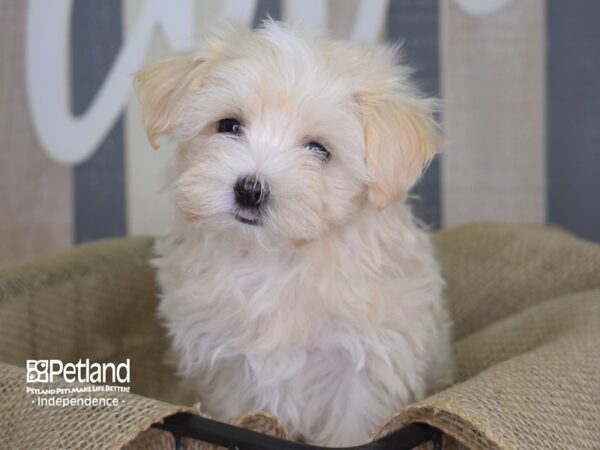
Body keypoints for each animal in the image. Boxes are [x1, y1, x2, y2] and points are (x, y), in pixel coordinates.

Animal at [135, 21, 450, 446]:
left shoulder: (362, 371)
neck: (274, 258)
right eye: (229, 126)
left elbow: (350, 431)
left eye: (318, 149)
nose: (250, 190)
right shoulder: (228, 370)